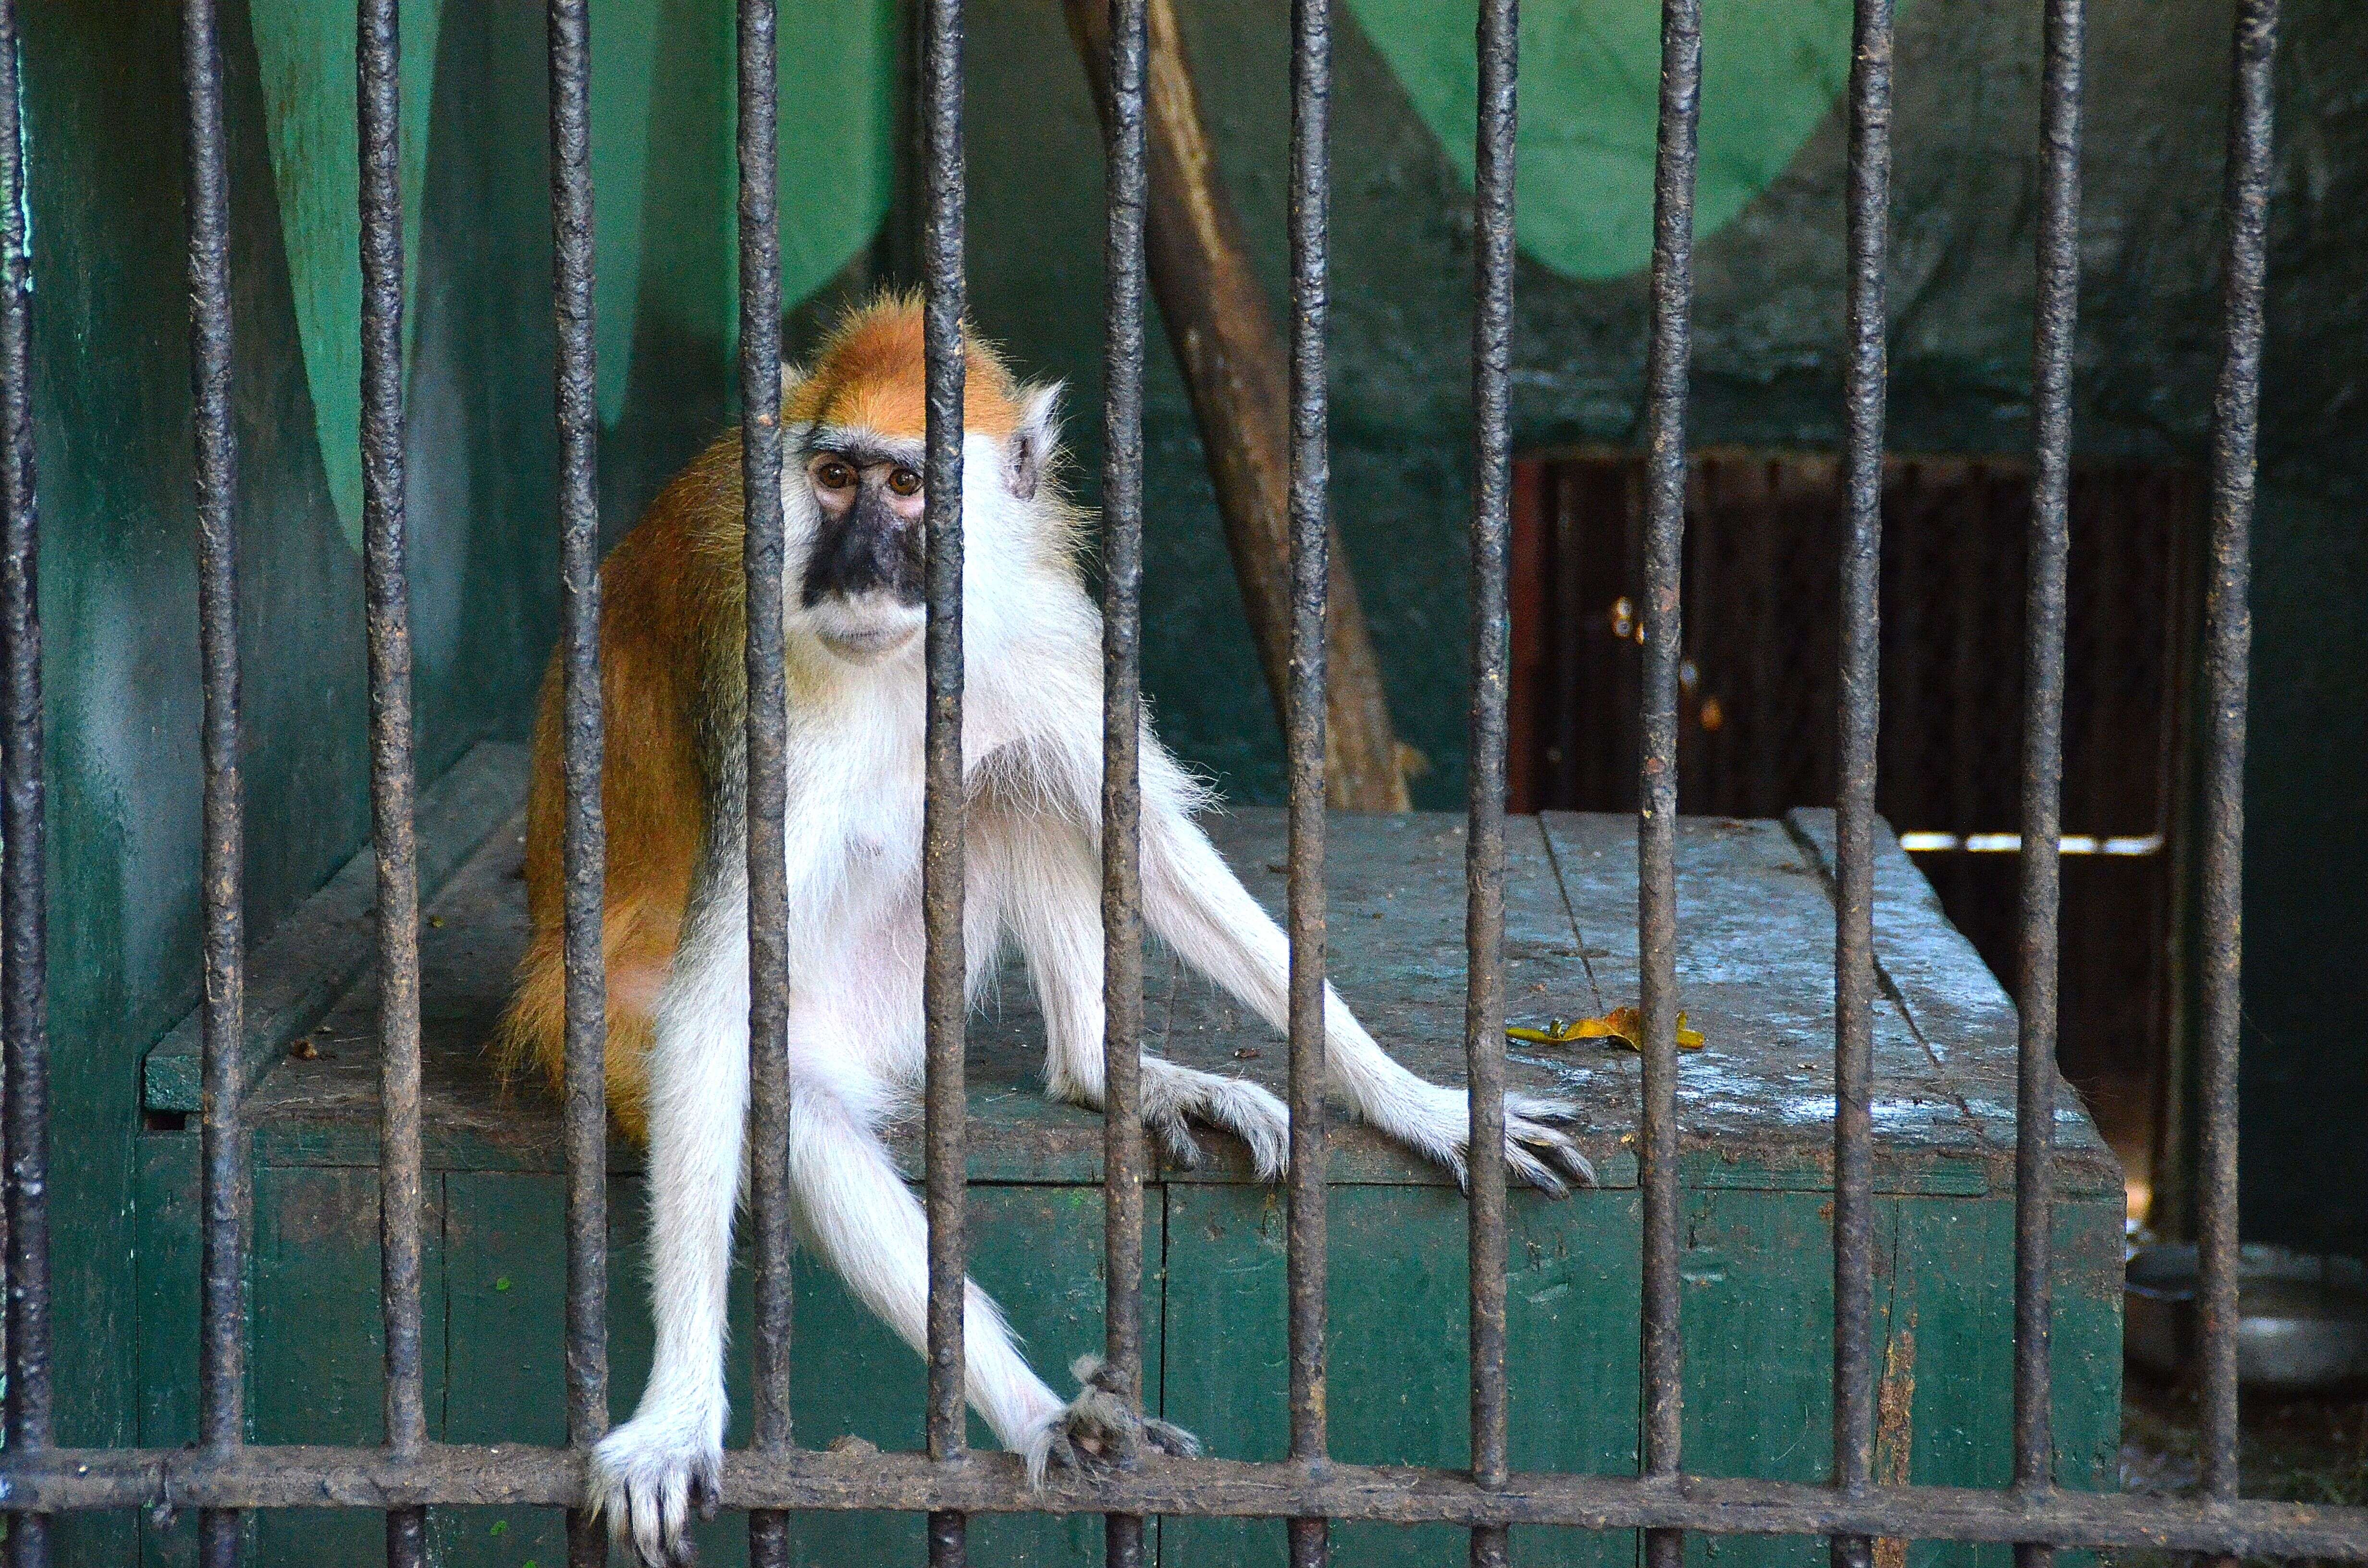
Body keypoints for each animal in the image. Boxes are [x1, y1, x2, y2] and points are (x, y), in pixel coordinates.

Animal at [499, 298, 1591, 1568]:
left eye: (908, 489)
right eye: (833, 478)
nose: (856, 570)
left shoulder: (1034, 628)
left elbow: (1145, 836)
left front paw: (1424, 1103)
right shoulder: (765, 712)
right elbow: (722, 1012)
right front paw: (675, 1414)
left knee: (1012, 775)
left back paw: (1098, 1073)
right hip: (637, 1032)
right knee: (788, 1104)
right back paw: (1034, 1409)